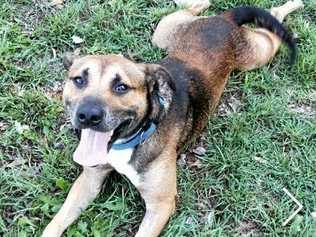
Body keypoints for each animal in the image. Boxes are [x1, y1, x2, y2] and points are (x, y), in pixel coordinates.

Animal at [42, 0, 304, 237]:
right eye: (79, 80)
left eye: (121, 87)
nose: (87, 115)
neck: (133, 137)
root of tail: (224, 20)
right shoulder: (89, 179)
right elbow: (55, 222)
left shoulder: (161, 204)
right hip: (164, 32)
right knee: (196, 7)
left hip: (256, 54)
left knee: (273, 21)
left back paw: (292, 5)